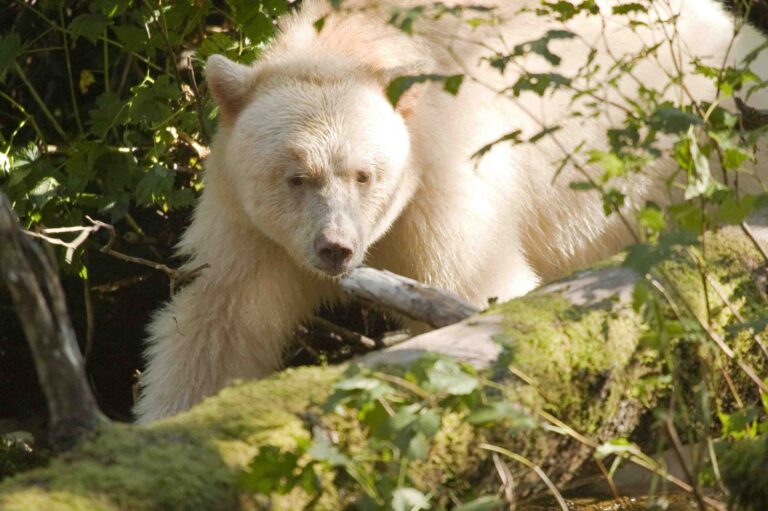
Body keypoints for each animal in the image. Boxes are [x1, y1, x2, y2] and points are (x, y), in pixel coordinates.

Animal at [134, 0, 768, 423]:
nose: (334, 248)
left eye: (365, 174)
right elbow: (222, 320)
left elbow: (480, 286)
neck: (359, 40)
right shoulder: (250, 226)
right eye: (296, 176)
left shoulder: (445, 181)